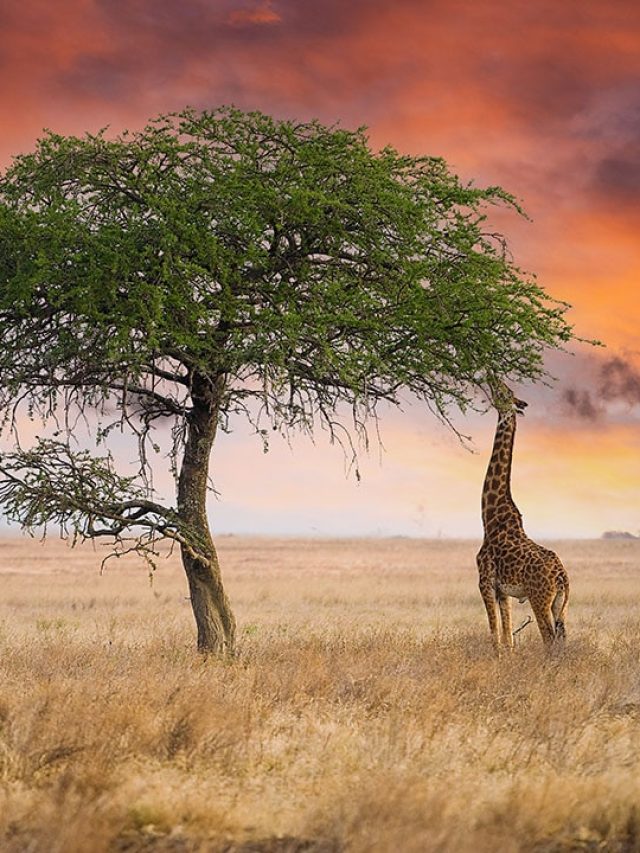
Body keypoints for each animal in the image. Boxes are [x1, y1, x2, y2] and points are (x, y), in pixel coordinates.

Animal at [477, 382, 569, 652]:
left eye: (504, 392)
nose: (492, 378)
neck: (490, 517)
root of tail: (562, 577)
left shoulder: (484, 581)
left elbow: (494, 633)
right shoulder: (503, 591)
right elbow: (507, 637)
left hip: (540, 599)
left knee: (549, 639)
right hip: (561, 604)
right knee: (562, 638)